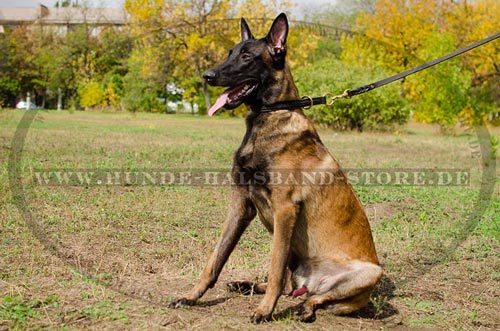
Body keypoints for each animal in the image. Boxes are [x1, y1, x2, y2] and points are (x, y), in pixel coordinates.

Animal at [168, 13, 382, 324]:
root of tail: (312, 283)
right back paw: (246, 285)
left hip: (370, 272)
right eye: (230, 52)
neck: (268, 118)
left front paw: (264, 311)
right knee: (288, 286)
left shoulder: (285, 209)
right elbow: (215, 259)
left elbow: (275, 266)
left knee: (310, 295)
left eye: (247, 56)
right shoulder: (241, 205)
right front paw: (190, 296)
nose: (207, 75)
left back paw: (304, 307)